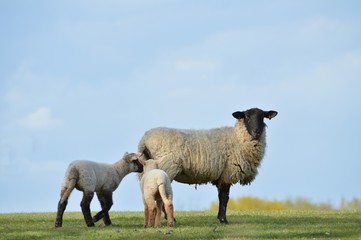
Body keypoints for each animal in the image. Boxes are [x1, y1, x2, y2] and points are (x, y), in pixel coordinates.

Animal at [137, 108, 276, 224]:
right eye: (246, 116)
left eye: (262, 117)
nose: (256, 131)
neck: (237, 138)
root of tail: (144, 139)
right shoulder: (227, 173)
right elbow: (225, 198)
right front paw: (223, 220)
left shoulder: (221, 176)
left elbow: (220, 197)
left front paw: (220, 218)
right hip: (166, 168)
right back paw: (171, 219)